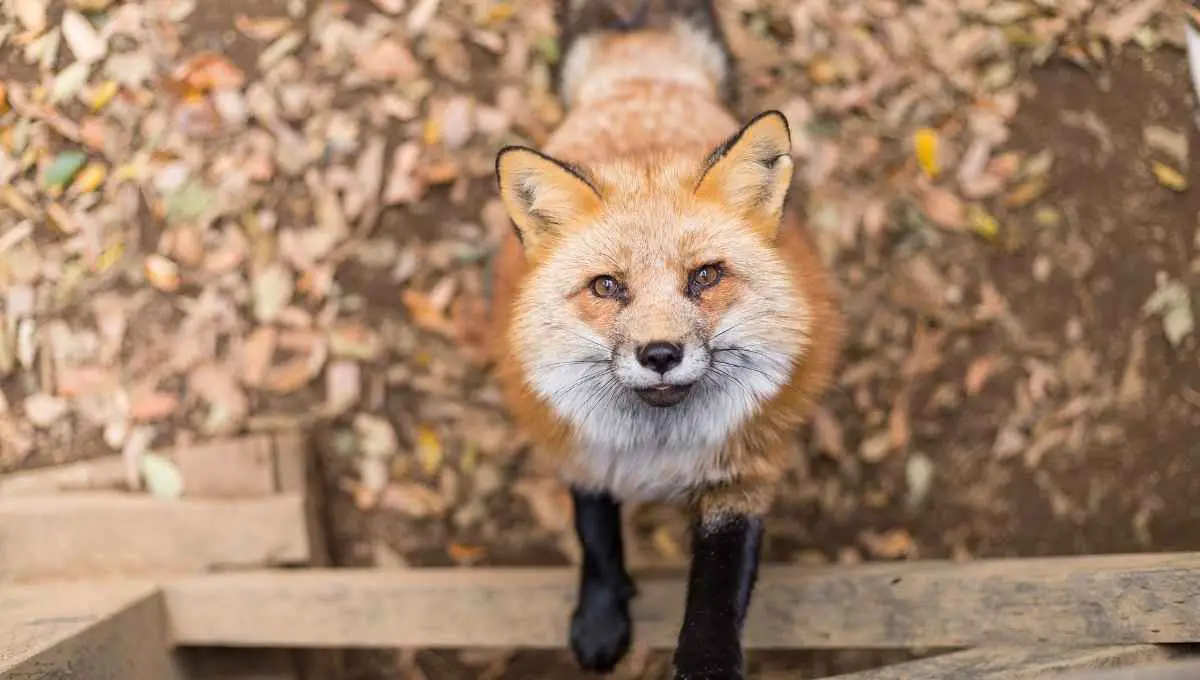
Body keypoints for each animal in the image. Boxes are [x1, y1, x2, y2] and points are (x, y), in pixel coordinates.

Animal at [487, 2, 844, 676]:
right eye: (606, 287)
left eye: (704, 277)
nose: (660, 355)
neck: (659, 449)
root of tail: (642, 72)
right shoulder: (581, 448)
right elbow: (596, 536)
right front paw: (601, 618)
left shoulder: (742, 477)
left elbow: (717, 591)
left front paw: (705, 662)